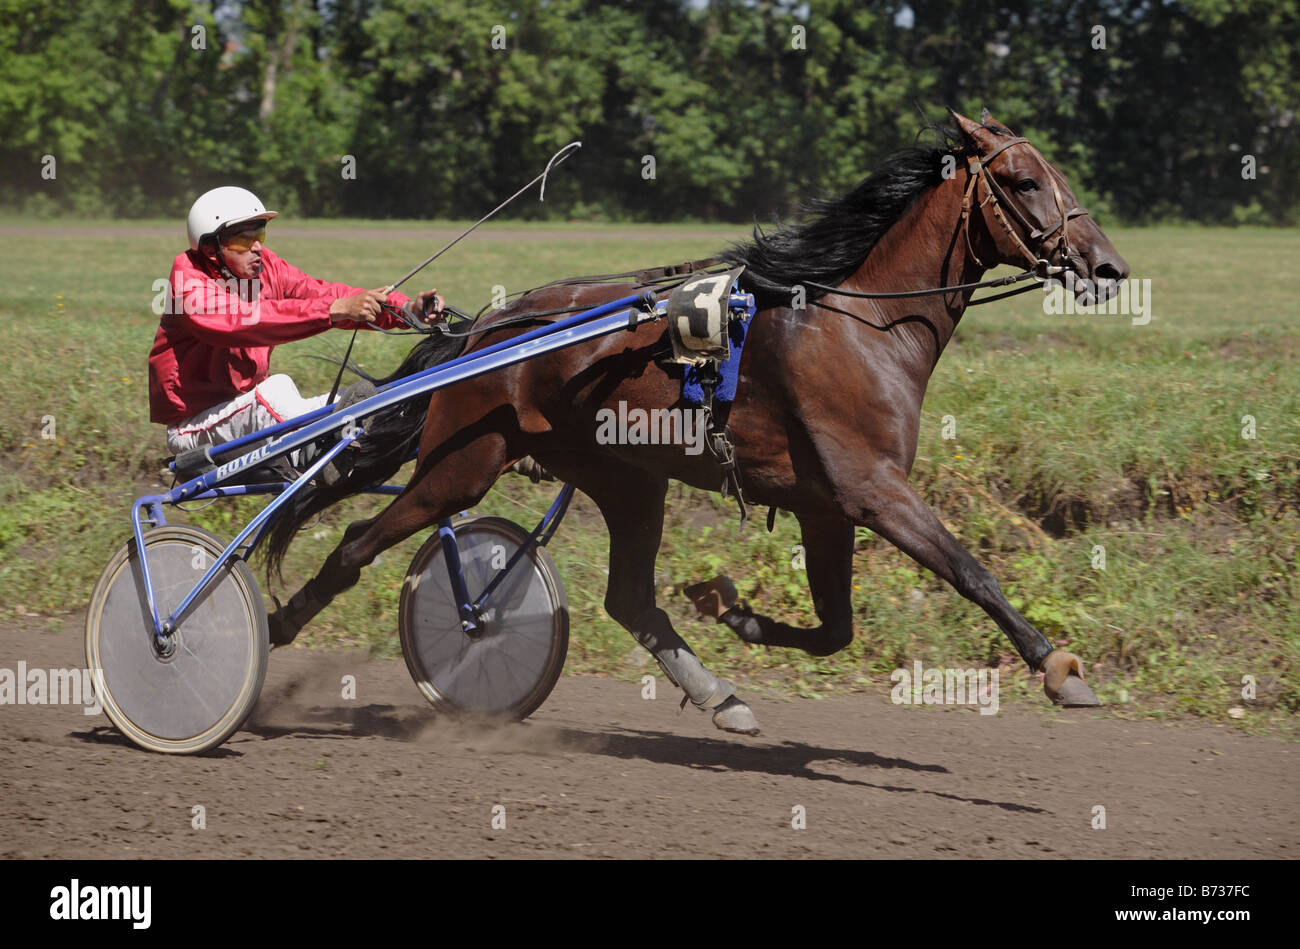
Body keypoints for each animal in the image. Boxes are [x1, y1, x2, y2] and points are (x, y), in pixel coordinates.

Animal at [263, 110, 1129, 735]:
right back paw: (271, 631)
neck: (860, 325)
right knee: (354, 544)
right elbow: (970, 571)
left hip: (624, 478)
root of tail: (491, 326)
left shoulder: (827, 505)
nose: (1108, 267)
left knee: (629, 599)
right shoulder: (871, 488)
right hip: (462, 461)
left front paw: (729, 606)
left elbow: (836, 629)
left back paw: (719, 695)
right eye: (1023, 180)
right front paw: (1058, 668)